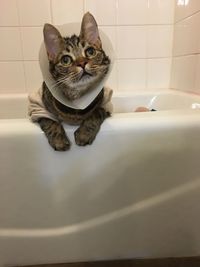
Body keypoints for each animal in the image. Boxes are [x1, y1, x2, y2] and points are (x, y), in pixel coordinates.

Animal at [35, 13, 112, 151]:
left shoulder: (107, 105)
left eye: (90, 51)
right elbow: (49, 121)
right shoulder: (37, 107)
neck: (77, 104)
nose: (82, 63)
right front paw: (58, 140)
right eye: (66, 60)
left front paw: (84, 134)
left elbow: (96, 112)